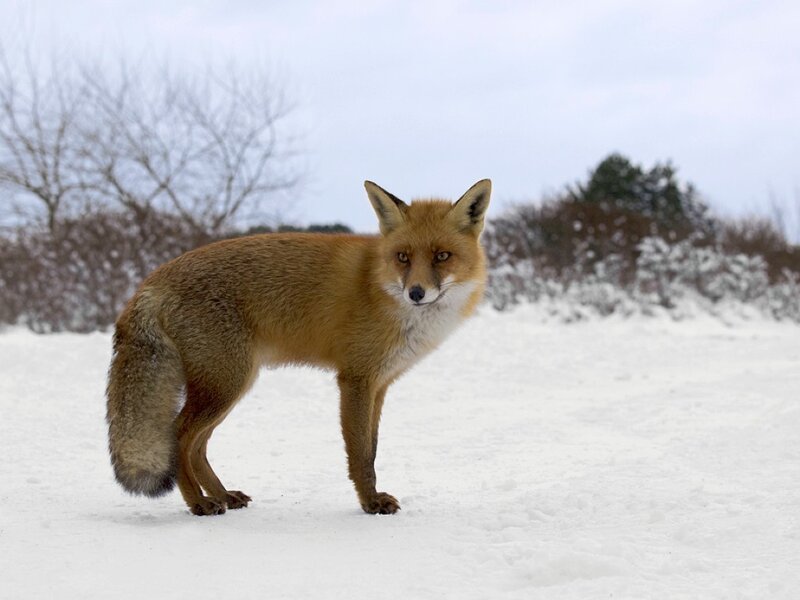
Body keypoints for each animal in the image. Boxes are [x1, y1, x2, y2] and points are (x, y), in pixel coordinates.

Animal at [106, 179, 491, 516]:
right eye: (403, 257)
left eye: (442, 256)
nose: (416, 293)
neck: (383, 289)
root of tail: (152, 280)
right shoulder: (355, 379)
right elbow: (361, 455)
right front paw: (369, 503)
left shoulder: (380, 384)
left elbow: (373, 448)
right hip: (224, 384)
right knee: (178, 436)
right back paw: (198, 503)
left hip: (231, 385)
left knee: (196, 446)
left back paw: (222, 495)